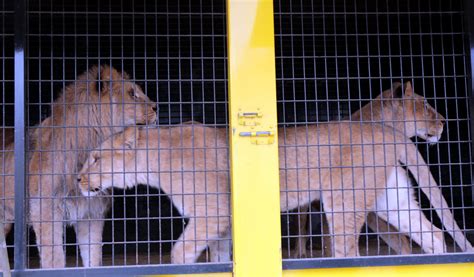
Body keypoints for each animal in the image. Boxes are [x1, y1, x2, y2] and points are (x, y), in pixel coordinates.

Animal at [25, 65, 157, 268]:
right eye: (132, 94)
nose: (157, 107)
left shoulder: (91, 212)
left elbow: (93, 256)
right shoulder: (44, 209)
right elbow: (53, 258)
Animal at [77, 121, 470, 260]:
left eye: (95, 157)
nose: (78, 180)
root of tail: (388, 130)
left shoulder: (213, 213)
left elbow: (178, 253)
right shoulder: (223, 224)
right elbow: (221, 258)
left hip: (342, 198)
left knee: (348, 251)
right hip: (392, 198)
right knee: (433, 233)